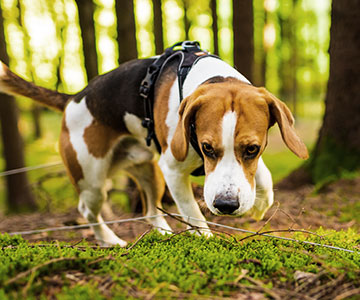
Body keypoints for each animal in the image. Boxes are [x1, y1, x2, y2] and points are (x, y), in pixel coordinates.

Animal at [0, 50, 310, 245]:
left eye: (252, 149)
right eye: (207, 148)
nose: (225, 205)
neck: (210, 78)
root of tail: (73, 97)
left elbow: (263, 178)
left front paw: (259, 203)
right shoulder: (172, 169)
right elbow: (193, 213)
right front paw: (207, 238)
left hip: (148, 169)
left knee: (150, 211)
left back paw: (162, 233)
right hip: (92, 180)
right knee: (88, 211)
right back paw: (110, 241)